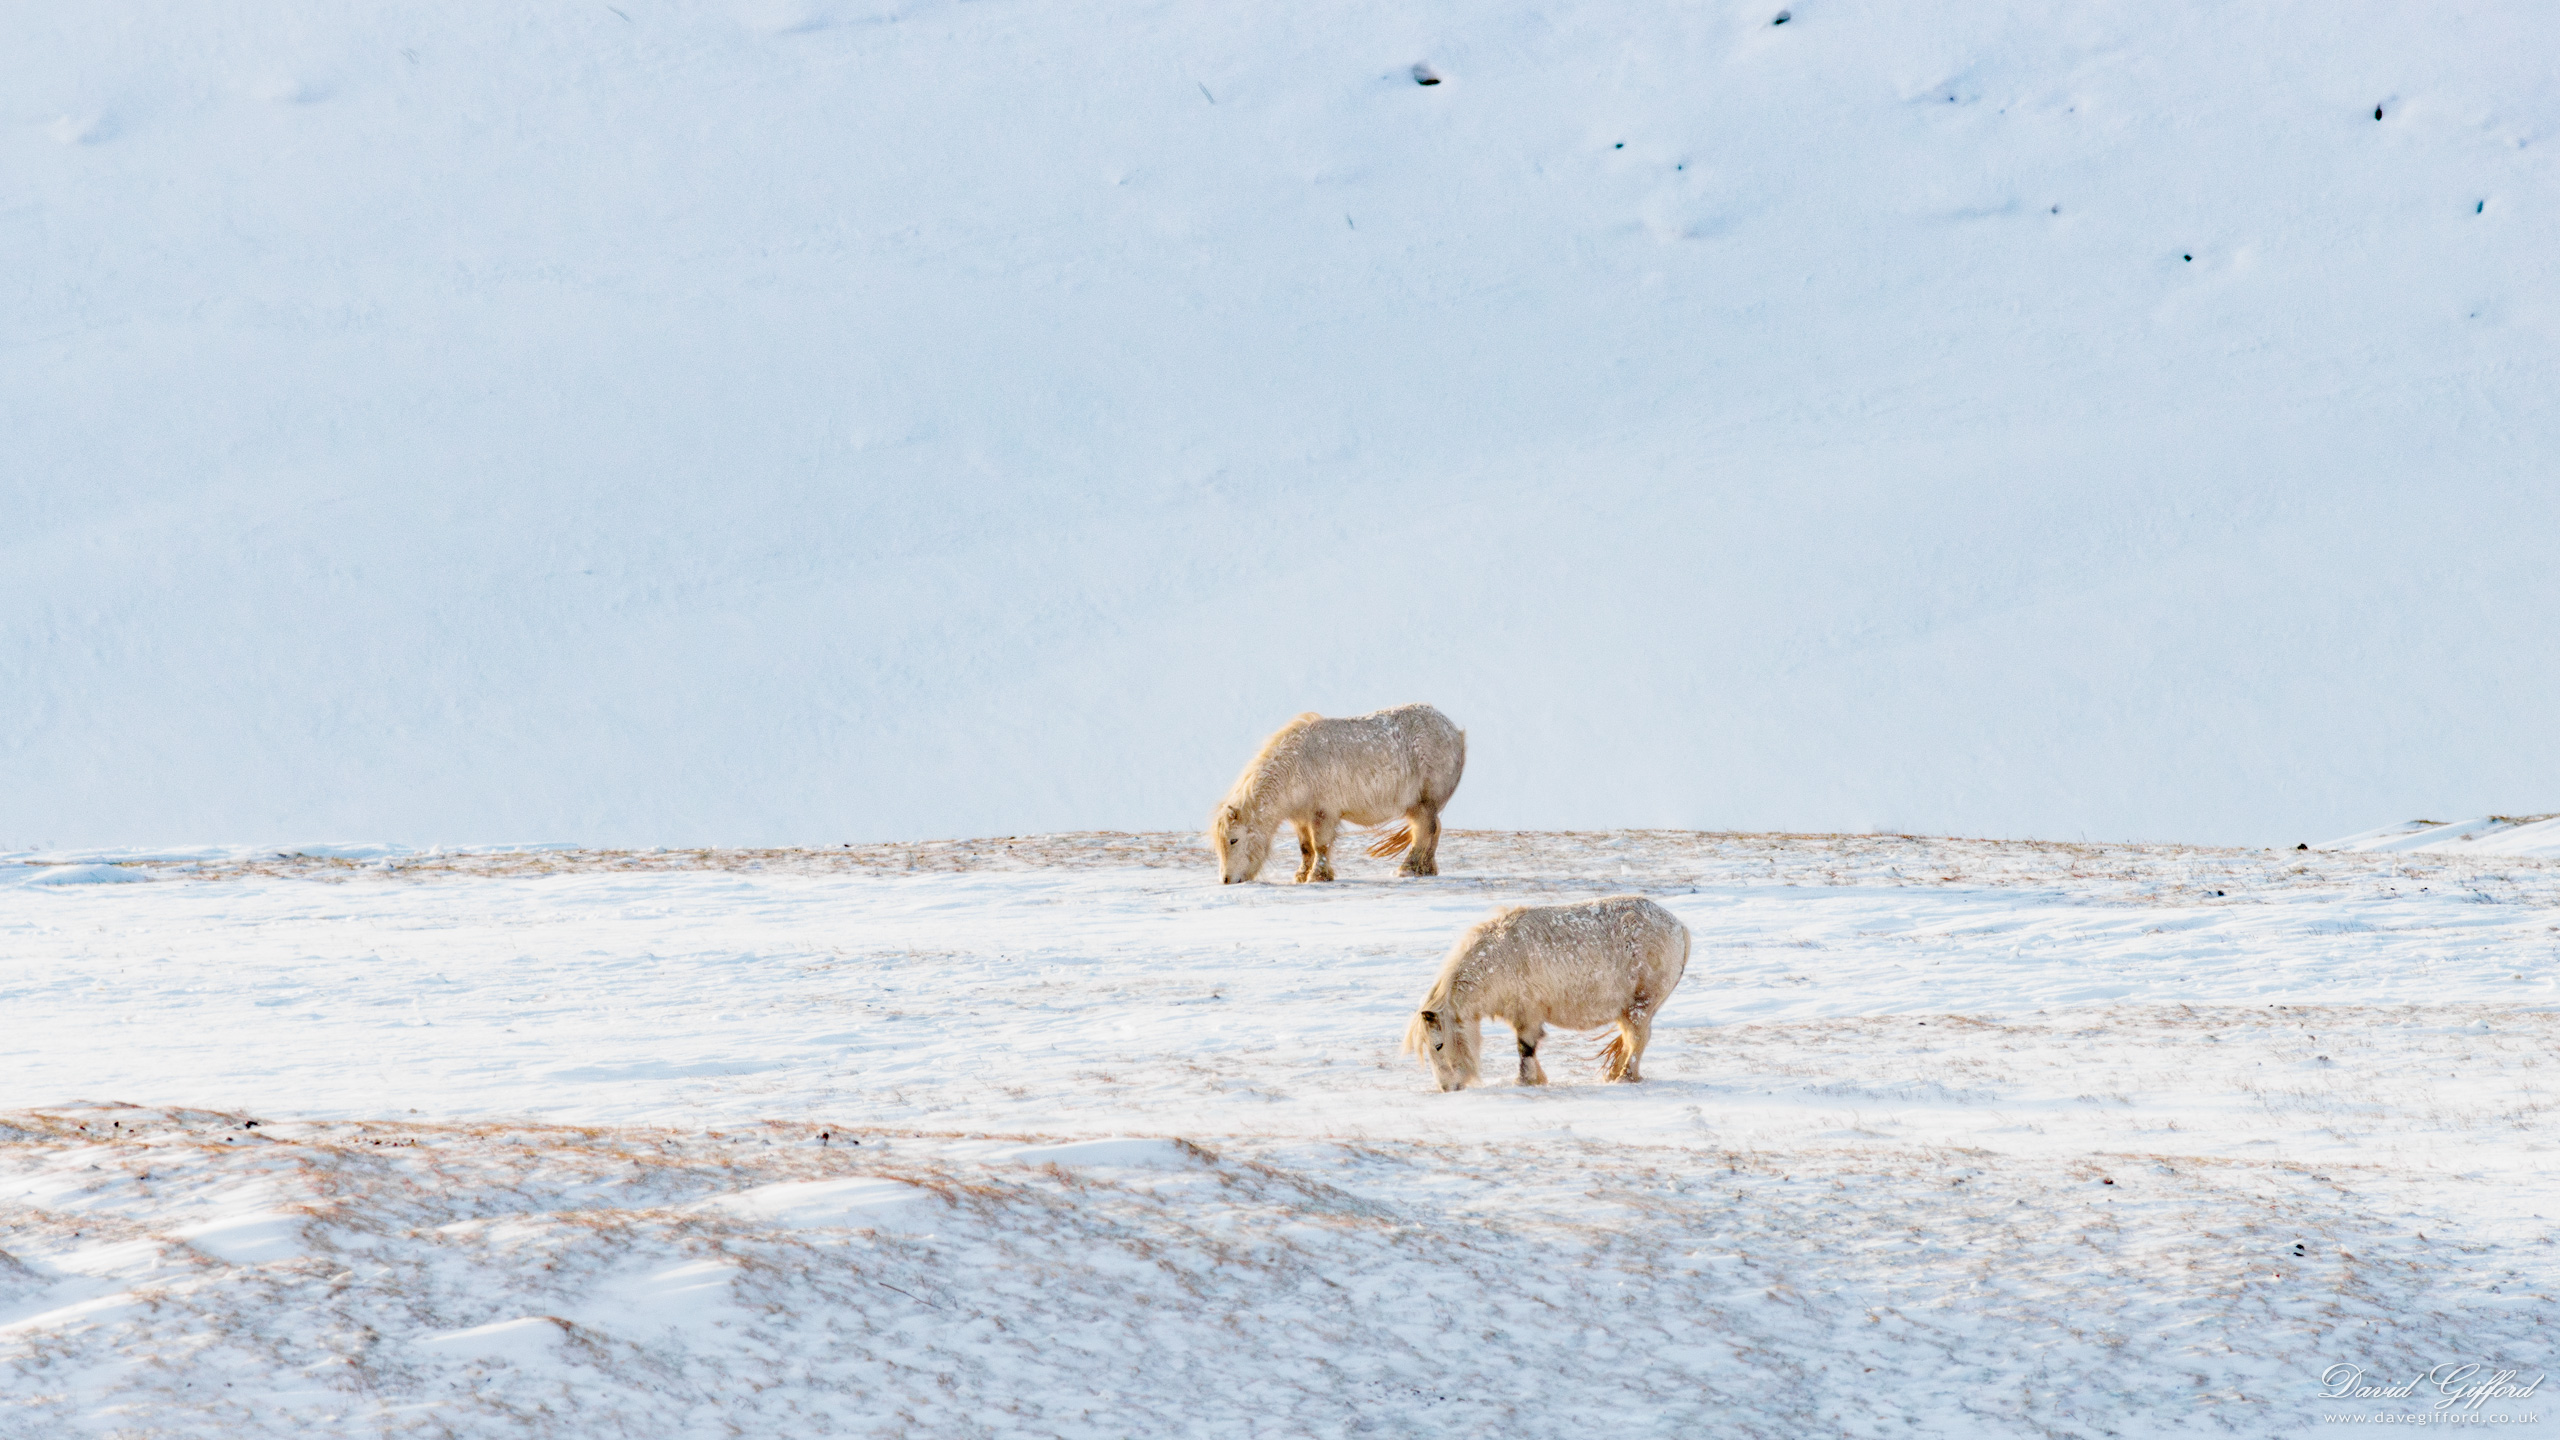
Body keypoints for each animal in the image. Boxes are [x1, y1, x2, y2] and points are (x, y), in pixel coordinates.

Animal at [1213, 702, 1474, 881]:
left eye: (1233, 839)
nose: (1227, 880)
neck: (1296, 766)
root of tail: (1455, 732)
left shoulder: (1324, 812)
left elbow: (1321, 845)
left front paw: (1318, 876)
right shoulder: (1301, 816)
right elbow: (1305, 847)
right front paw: (1301, 875)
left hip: (1423, 801)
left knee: (1423, 831)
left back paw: (1408, 869)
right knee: (1434, 830)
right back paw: (1427, 869)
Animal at [1402, 886, 1679, 1086]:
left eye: (1438, 1045)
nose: (1447, 1087)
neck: (1498, 958)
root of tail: (1679, 927)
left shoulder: (1528, 1013)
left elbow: (1525, 1048)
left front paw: (1526, 1080)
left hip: (1640, 1004)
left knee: (1637, 1041)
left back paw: (1624, 1076)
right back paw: (1612, 1075)